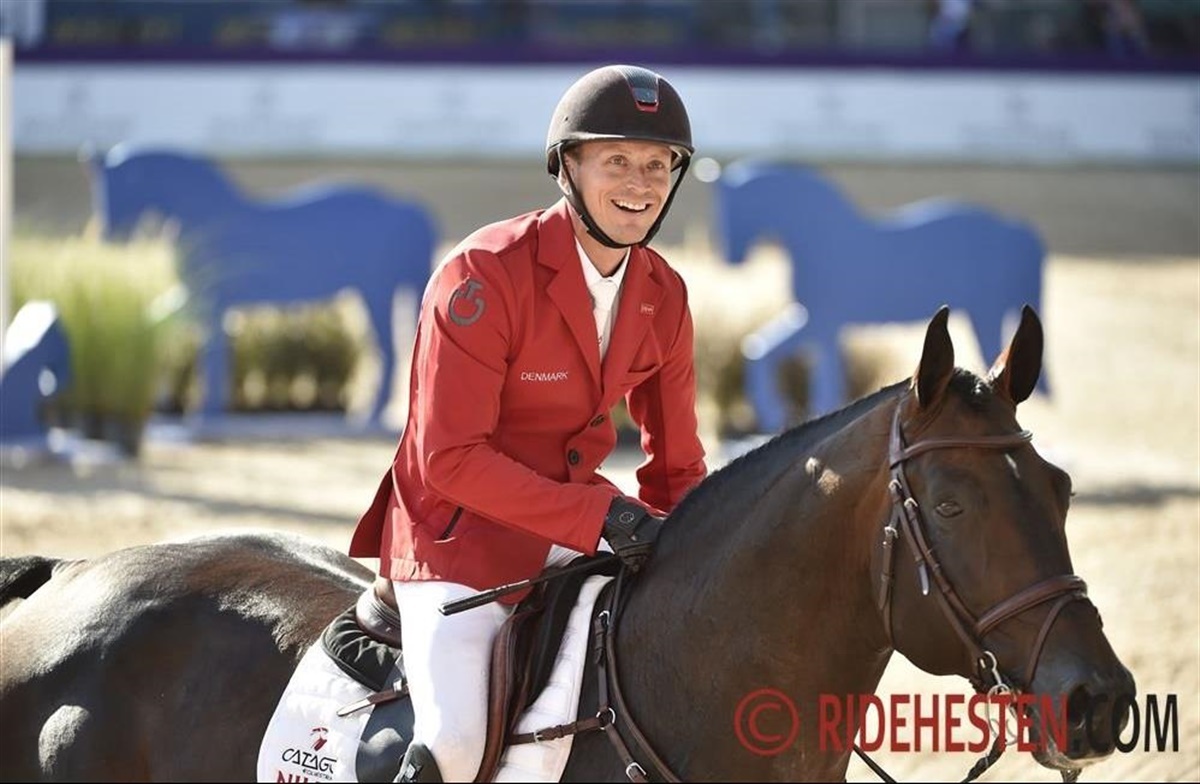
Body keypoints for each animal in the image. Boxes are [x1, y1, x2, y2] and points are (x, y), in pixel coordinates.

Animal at [84, 145, 439, 425]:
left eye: (123, 185)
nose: (106, 238)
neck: (207, 216)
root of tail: (403, 207)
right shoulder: (196, 299)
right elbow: (162, 324)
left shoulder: (212, 302)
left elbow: (211, 353)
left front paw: (204, 410)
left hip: (374, 293)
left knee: (387, 349)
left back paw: (367, 415)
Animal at [712, 160, 1047, 431]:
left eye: (737, 207)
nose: (731, 260)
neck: (819, 235)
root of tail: (1012, 226)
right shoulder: (816, 321)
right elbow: (765, 349)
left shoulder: (822, 322)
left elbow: (791, 362)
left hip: (984, 314)